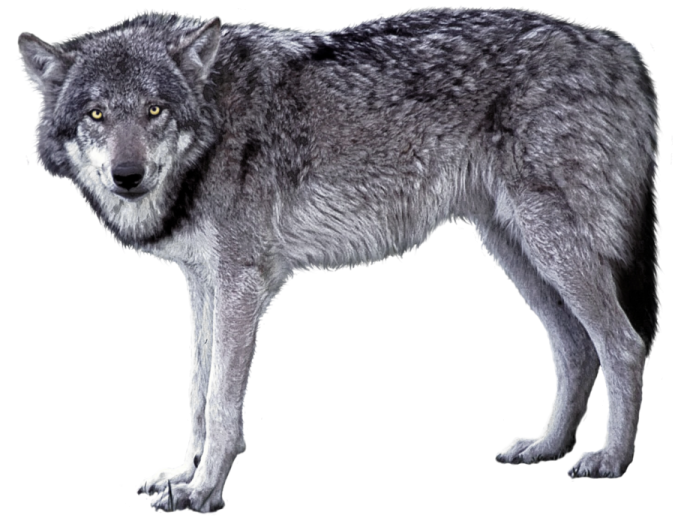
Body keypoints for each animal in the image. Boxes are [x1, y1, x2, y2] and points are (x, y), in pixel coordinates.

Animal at [18, 6, 660, 513]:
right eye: (97, 114)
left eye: (154, 111)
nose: (128, 175)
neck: (215, 118)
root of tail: (625, 52)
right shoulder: (201, 282)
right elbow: (198, 394)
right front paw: (183, 475)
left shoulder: (241, 285)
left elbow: (222, 403)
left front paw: (204, 492)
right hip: (518, 251)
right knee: (576, 349)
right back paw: (546, 448)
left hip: (550, 246)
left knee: (623, 344)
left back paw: (609, 459)